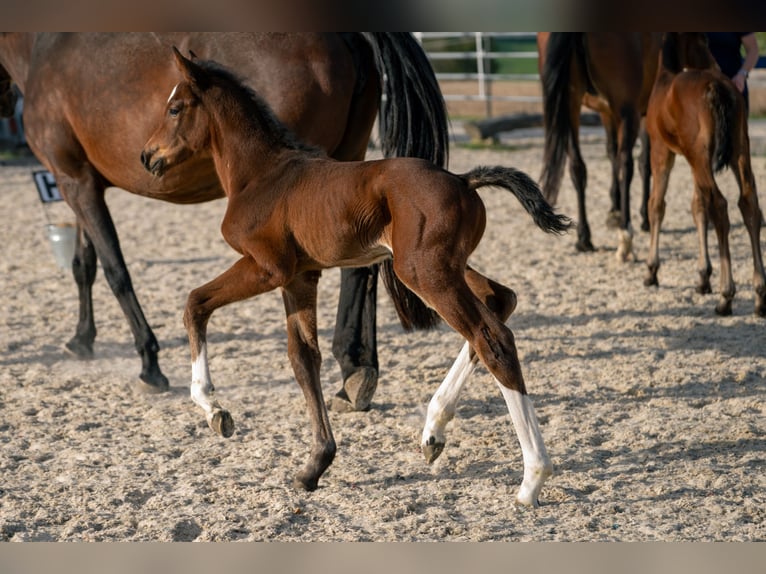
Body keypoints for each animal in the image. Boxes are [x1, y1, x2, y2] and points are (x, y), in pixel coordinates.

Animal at [0, 33, 449, 412]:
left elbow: (115, 270)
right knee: (364, 265)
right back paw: (356, 375)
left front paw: (149, 363)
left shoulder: (72, 178)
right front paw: (82, 339)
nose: (145, 156)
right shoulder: (80, 181)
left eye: (174, 108)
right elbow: (84, 265)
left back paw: (353, 372)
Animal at [141, 48, 570, 504]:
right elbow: (303, 359)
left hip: (424, 271)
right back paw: (433, 431)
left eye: (174, 108)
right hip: (440, 265)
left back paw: (532, 478)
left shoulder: (267, 268)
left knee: (492, 339)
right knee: (500, 300)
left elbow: (195, 303)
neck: (262, 175)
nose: (147, 156)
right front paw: (315, 465)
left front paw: (215, 411)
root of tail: (462, 179)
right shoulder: (300, 278)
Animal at [539, 32, 662, 260]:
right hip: (627, 110)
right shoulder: (642, 108)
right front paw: (643, 217)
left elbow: (611, 152)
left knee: (578, 167)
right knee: (626, 164)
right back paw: (626, 236)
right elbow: (643, 161)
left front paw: (614, 209)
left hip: (570, 104)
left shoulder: (606, 111)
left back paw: (584, 238)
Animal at [643, 33, 766, 317]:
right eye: (703, 39)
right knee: (749, 204)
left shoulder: (662, 151)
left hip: (698, 157)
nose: (715, 64)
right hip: (736, 152)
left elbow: (657, 205)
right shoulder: (692, 161)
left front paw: (652, 271)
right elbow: (697, 206)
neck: (665, 78)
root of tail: (716, 86)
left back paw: (726, 297)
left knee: (720, 206)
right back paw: (759, 297)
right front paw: (703, 278)